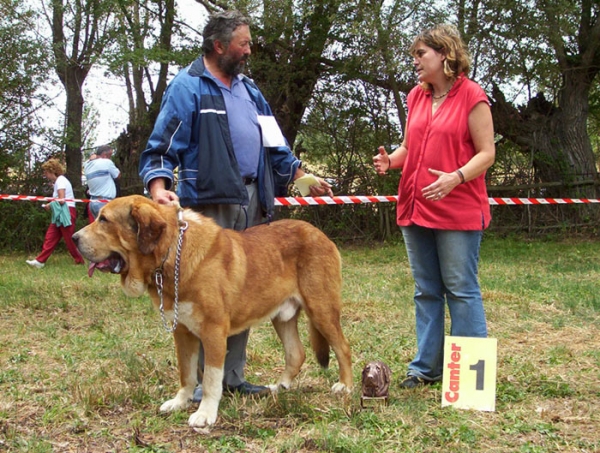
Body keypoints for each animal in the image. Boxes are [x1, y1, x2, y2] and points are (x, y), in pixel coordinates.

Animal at [71, 194, 352, 428]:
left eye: (104, 220)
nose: (74, 238)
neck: (172, 253)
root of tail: (320, 234)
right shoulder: (182, 331)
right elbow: (186, 373)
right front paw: (180, 402)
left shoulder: (213, 331)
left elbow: (210, 379)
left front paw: (205, 414)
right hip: (282, 317)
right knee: (296, 353)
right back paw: (279, 387)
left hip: (321, 308)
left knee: (342, 347)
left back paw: (345, 386)